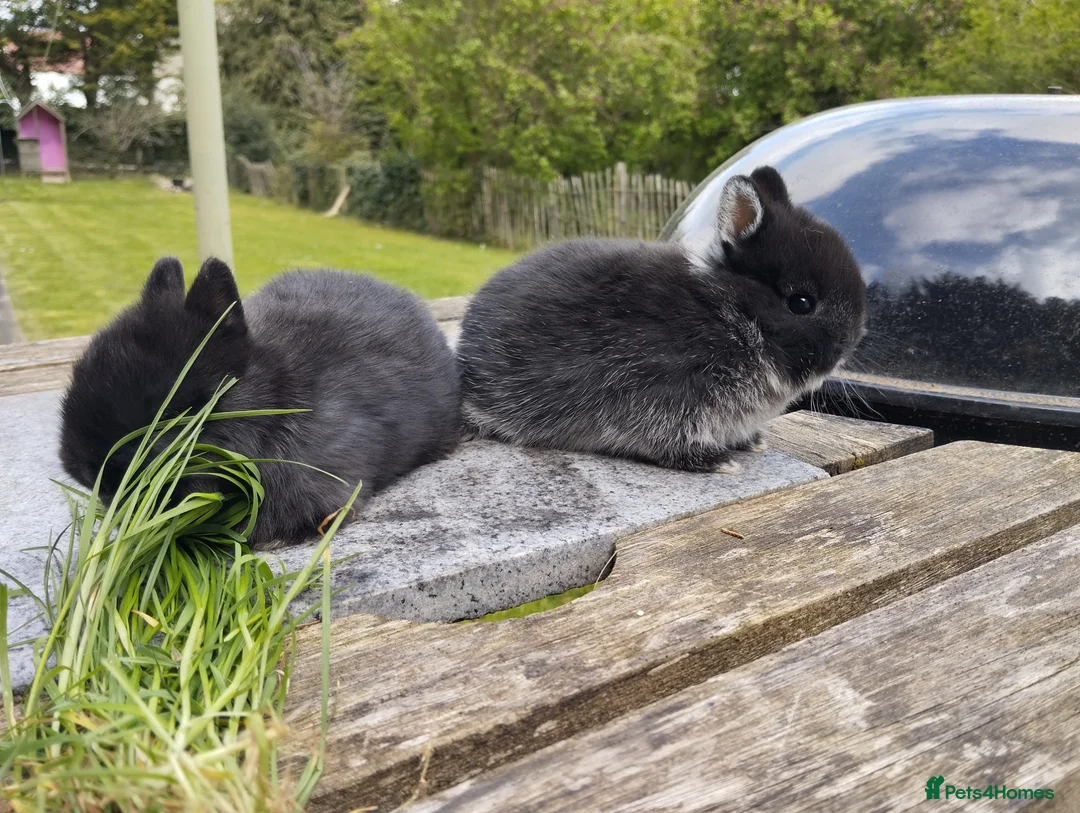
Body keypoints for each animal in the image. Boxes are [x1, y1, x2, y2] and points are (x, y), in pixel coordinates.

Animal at [456, 165, 867, 473]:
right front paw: (716, 462)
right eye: (801, 303)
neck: (731, 314)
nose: (846, 349)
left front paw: (752, 443)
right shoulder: (664, 396)